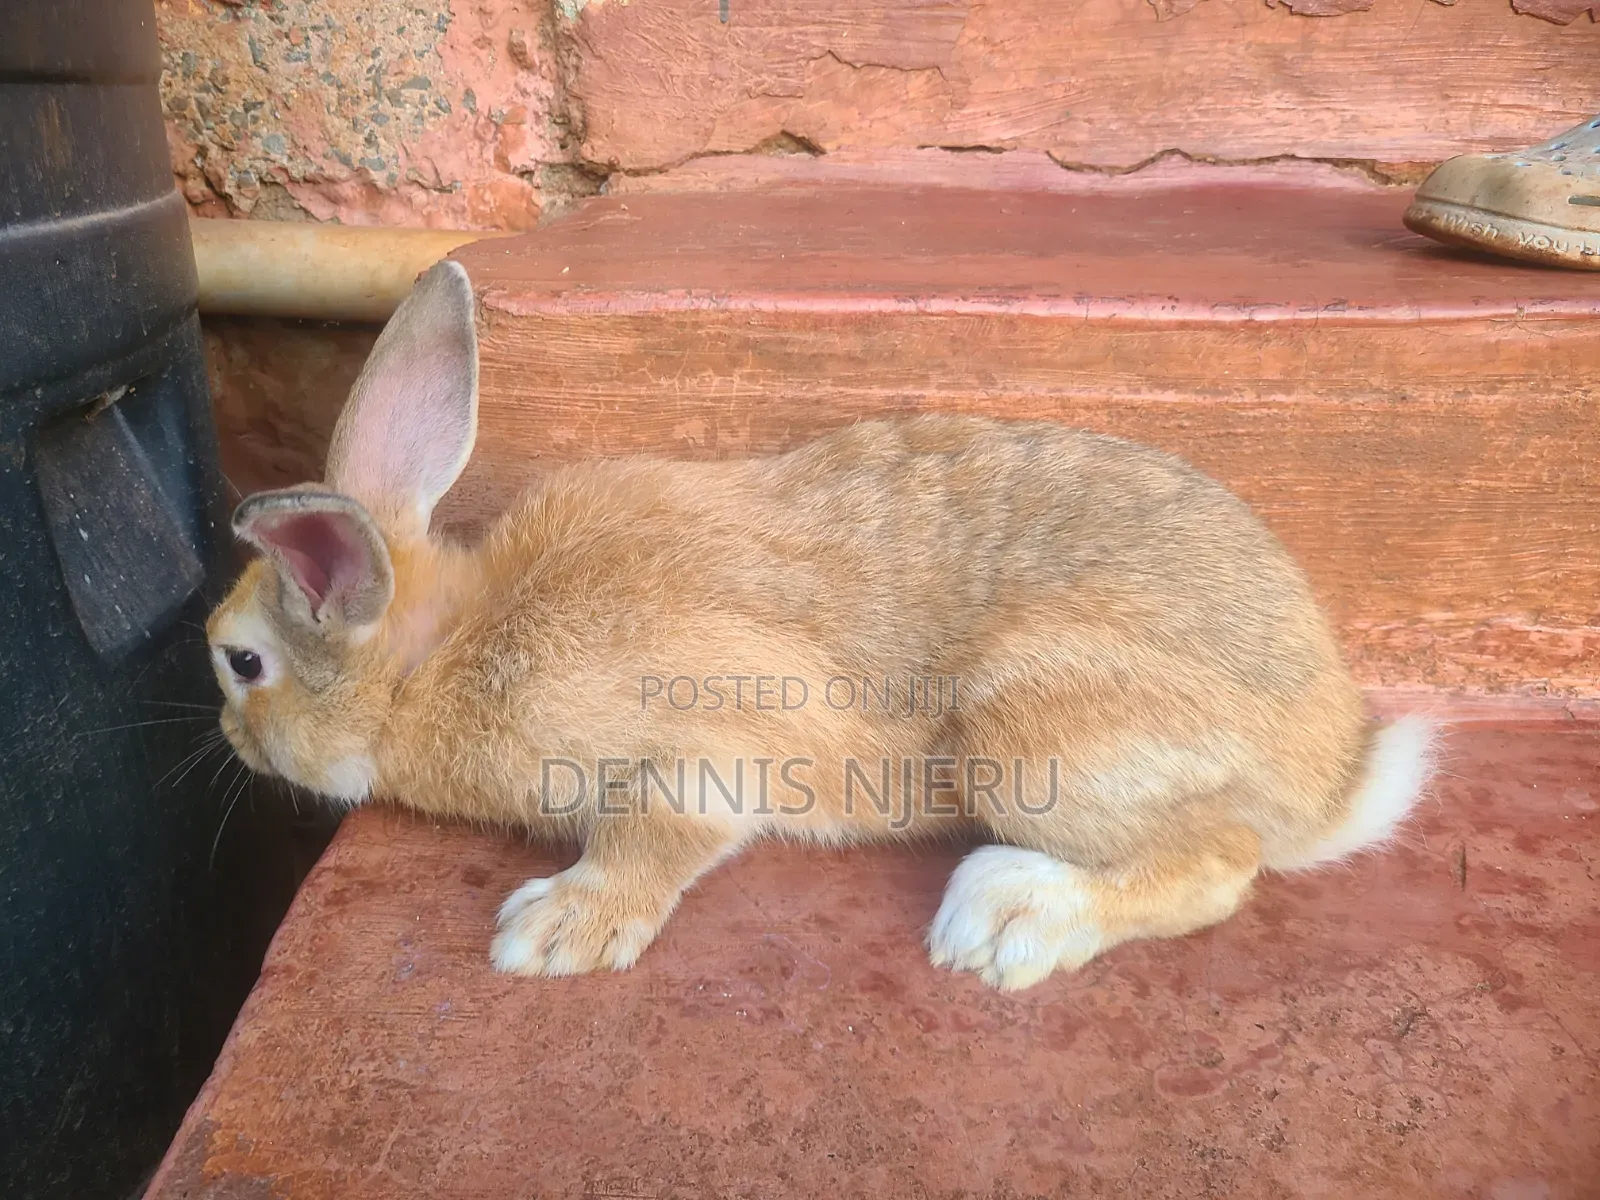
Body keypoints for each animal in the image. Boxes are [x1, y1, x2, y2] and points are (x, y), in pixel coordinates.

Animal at [206, 260, 1434, 991]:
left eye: (241, 662)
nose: (229, 741)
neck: (444, 651)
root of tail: (1330, 771)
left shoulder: (700, 745)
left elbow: (654, 835)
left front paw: (551, 932)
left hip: (1036, 733)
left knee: (1220, 862)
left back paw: (1006, 921)